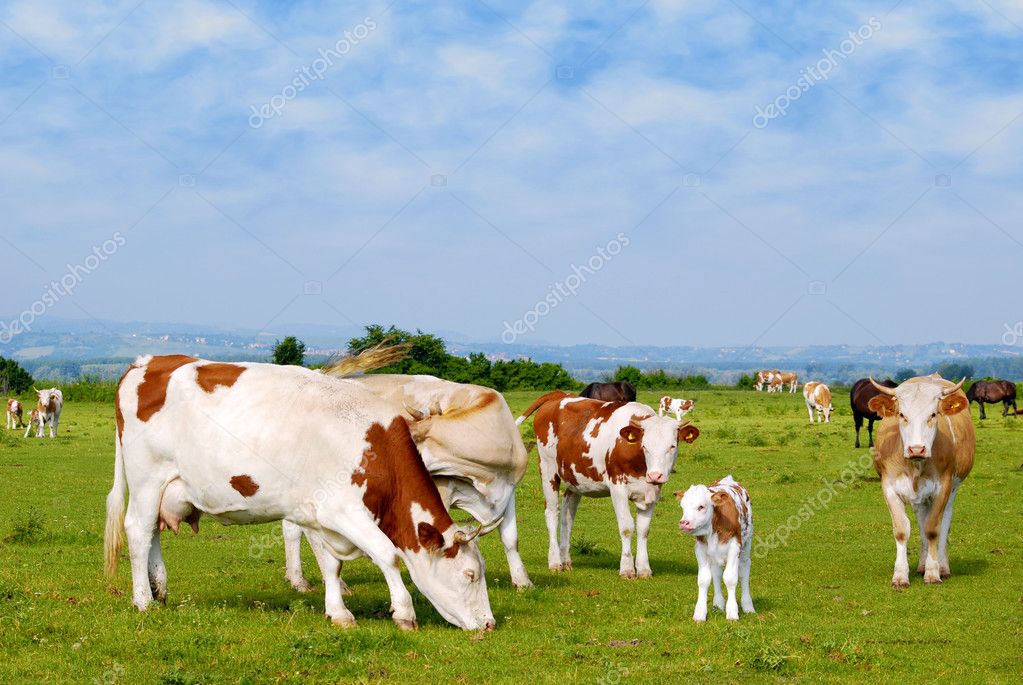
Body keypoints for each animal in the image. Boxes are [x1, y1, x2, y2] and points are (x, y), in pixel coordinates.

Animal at [105, 359, 497, 633]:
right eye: (470, 575)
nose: (490, 624)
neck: (371, 442)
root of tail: (146, 363)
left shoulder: (321, 518)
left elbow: (332, 565)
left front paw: (338, 613)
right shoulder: (341, 510)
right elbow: (387, 554)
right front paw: (404, 613)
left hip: (164, 486)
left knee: (153, 532)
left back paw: (159, 589)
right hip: (146, 478)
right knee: (138, 531)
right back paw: (143, 601)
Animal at [515, 392, 699, 580]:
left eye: (672, 446)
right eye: (645, 446)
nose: (655, 475)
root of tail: (560, 394)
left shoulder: (652, 491)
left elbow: (643, 529)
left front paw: (643, 569)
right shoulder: (617, 487)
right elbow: (626, 527)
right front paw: (627, 569)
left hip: (575, 478)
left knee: (567, 515)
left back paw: (565, 560)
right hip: (548, 469)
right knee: (552, 513)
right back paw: (555, 562)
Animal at [675, 478, 757, 621]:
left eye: (701, 506)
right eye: (683, 507)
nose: (684, 523)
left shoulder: (735, 547)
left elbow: (730, 578)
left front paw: (732, 612)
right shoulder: (700, 548)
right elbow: (704, 579)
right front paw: (700, 613)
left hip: (747, 541)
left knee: (744, 568)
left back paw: (748, 606)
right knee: (717, 572)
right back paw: (718, 604)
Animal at [867, 378, 977, 588]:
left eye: (933, 414)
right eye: (902, 414)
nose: (917, 449)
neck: (915, 466)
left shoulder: (943, 487)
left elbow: (933, 529)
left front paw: (933, 573)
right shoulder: (889, 487)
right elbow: (902, 530)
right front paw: (900, 575)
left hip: (953, 488)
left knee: (945, 520)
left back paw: (942, 566)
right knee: (921, 520)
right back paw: (921, 564)